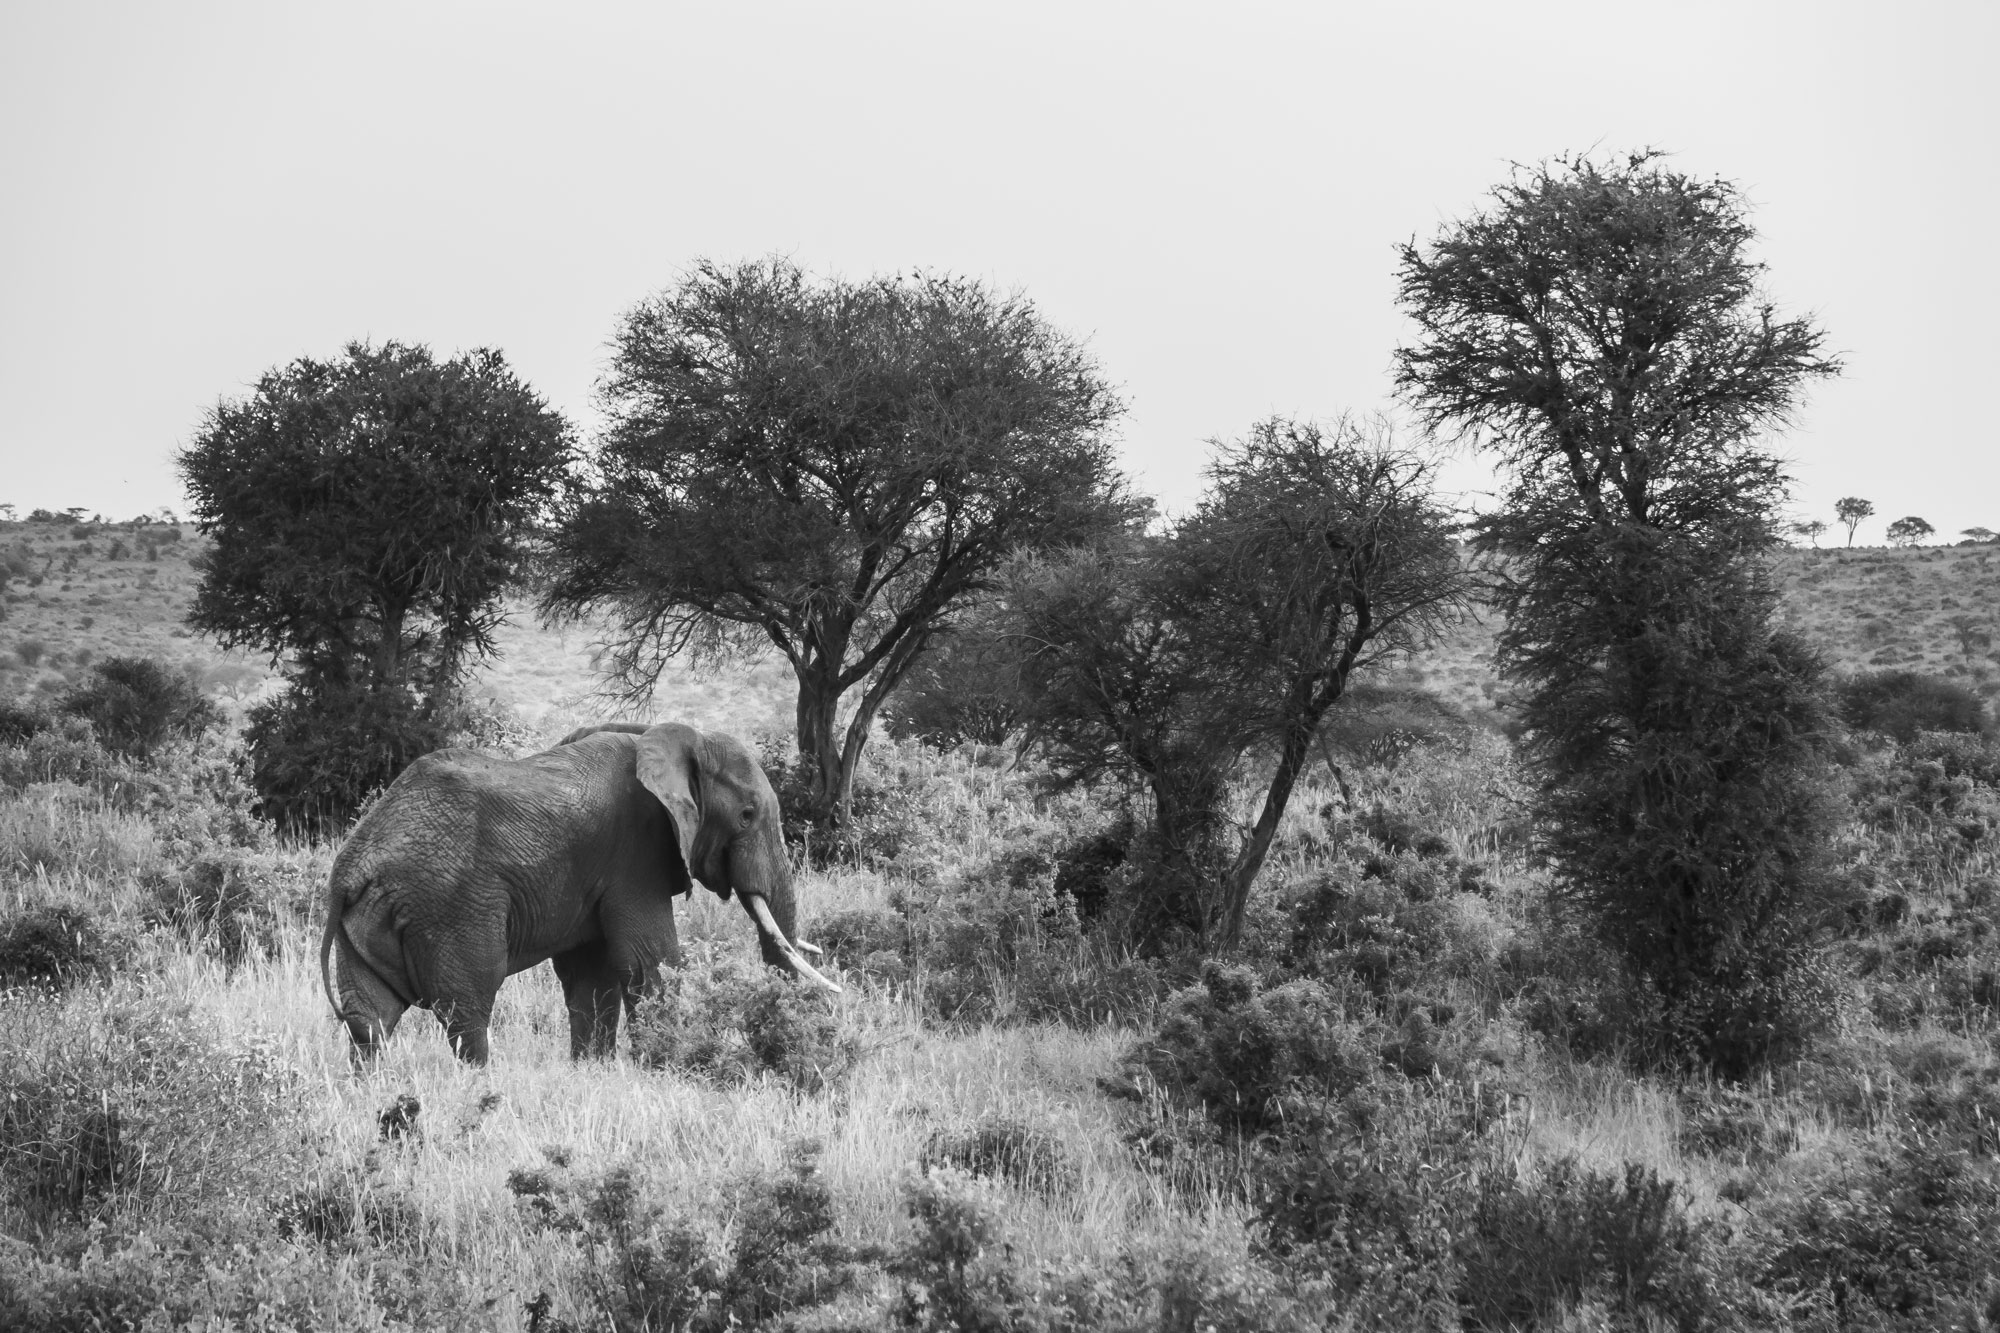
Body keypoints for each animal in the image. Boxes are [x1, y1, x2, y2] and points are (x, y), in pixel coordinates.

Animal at [319, 720, 838, 1066]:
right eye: (747, 815)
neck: (669, 737)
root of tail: (349, 868)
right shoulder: (635, 854)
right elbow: (650, 959)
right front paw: (665, 1066)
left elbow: (592, 973)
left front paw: (593, 1068)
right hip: (448, 907)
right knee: (467, 1005)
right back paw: (482, 1084)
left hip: (369, 915)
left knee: (369, 1016)